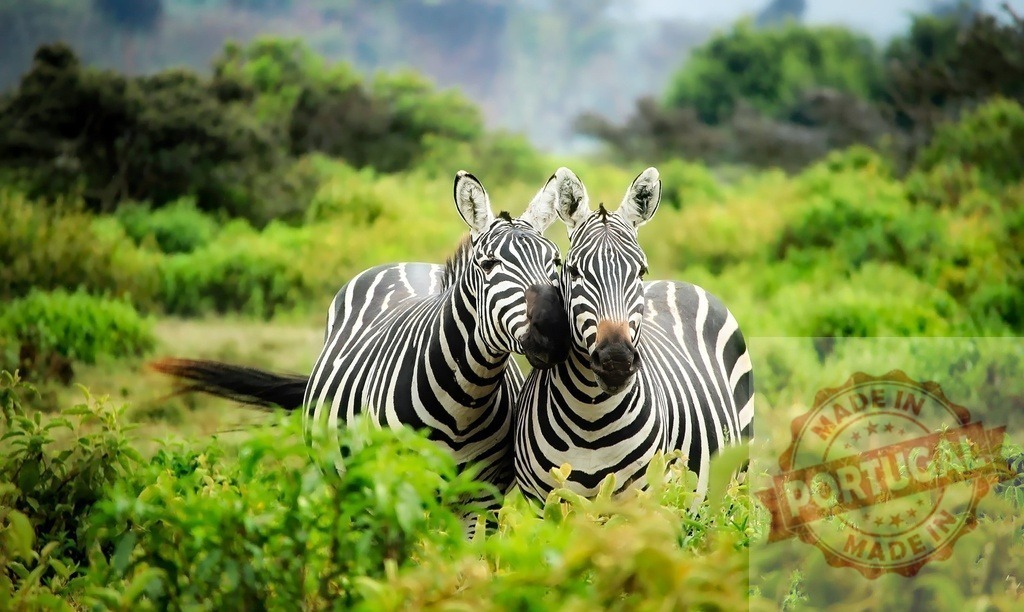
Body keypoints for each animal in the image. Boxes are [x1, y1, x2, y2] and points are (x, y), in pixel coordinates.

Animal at [153, 169, 572, 517]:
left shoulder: (482, 500)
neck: (465, 401)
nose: (554, 331)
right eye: (488, 265)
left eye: (555, 262)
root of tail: (408, 264)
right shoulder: (396, 489)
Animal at [513, 167, 754, 505]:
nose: (616, 360)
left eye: (640, 271)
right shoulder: (543, 504)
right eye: (573, 271)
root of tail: (678, 282)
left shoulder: (642, 502)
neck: (590, 418)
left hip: (735, 481)